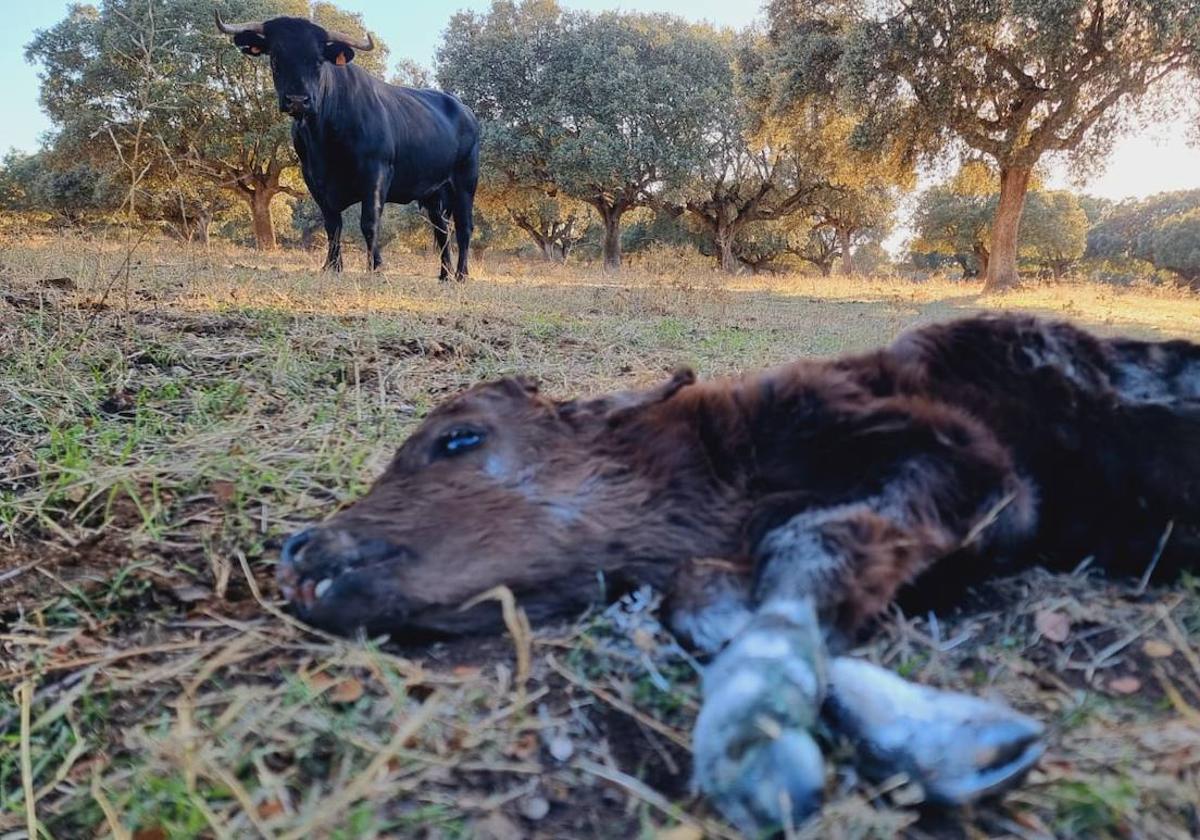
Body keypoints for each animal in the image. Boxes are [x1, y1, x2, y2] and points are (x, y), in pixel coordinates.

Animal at [218, 13, 480, 280]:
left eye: (318, 60)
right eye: (275, 58)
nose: (298, 100)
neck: (324, 140)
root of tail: (464, 109)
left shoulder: (376, 173)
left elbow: (369, 222)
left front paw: (375, 266)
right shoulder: (314, 180)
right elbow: (333, 225)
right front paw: (333, 266)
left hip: (465, 182)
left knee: (464, 228)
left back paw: (461, 274)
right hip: (434, 192)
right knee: (441, 230)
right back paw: (444, 275)